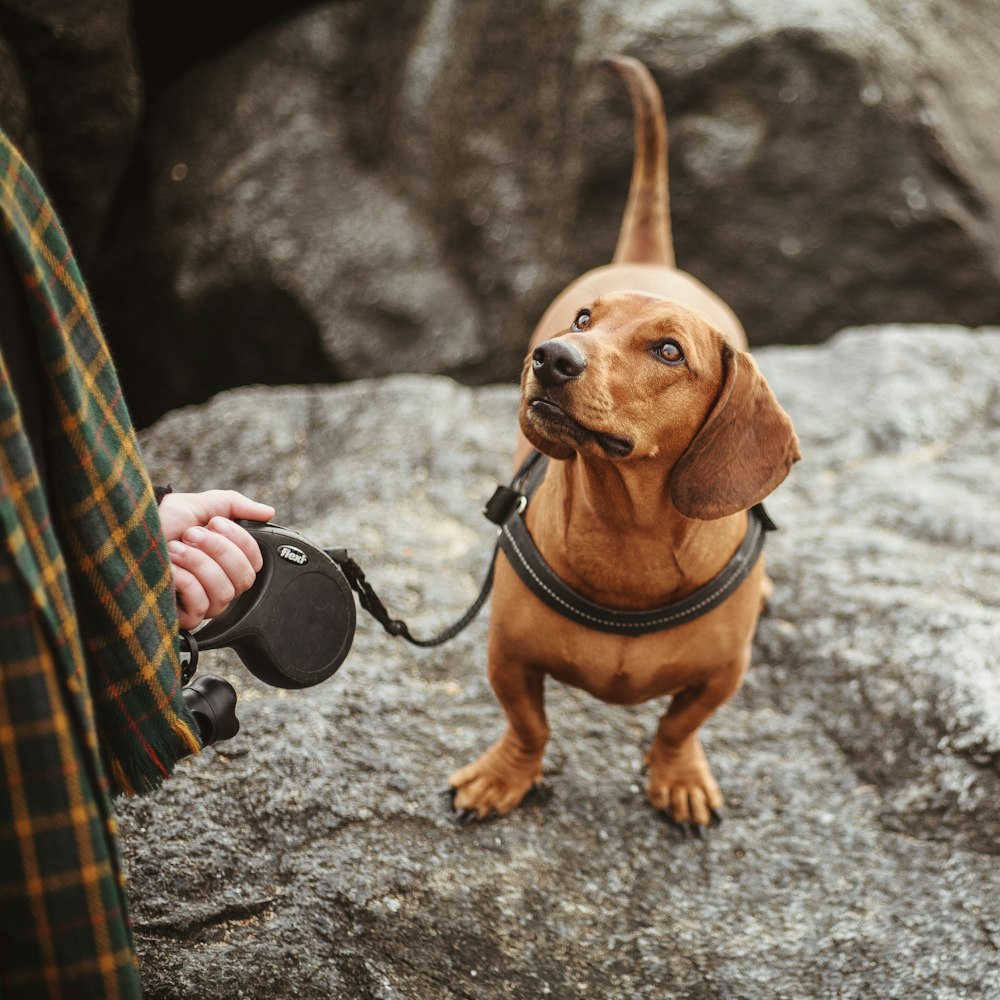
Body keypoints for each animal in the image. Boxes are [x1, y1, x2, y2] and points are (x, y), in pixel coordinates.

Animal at [450, 58, 800, 832]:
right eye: (584, 321)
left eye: (669, 350)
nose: (550, 358)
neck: (625, 533)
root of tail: (651, 259)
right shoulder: (508, 657)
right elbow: (529, 725)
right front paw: (503, 776)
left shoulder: (720, 677)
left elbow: (679, 725)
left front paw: (679, 776)